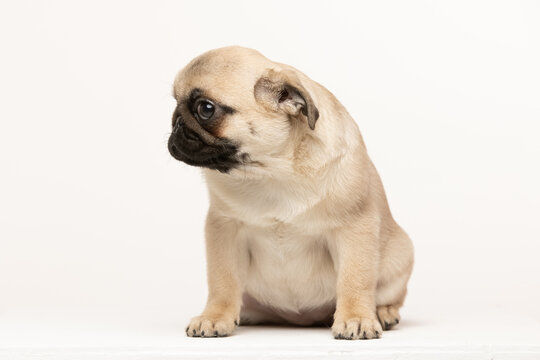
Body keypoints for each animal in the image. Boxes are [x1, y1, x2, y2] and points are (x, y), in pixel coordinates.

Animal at [168, 46, 414, 338]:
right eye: (174, 102)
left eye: (205, 109)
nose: (176, 122)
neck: (273, 169)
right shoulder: (224, 229)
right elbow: (222, 280)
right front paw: (215, 316)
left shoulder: (354, 229)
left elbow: (355, 279)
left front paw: (356, 318)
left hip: (400, 256)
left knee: (388, 295)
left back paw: (384, 313)